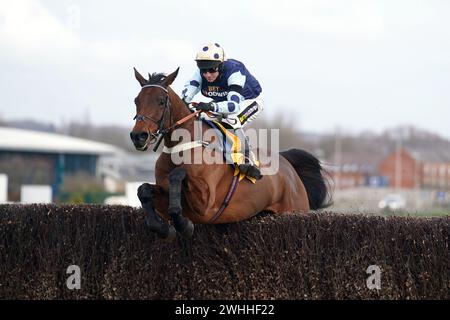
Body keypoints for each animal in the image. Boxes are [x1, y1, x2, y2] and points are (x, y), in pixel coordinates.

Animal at [130, 67, 330, 240]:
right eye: (136, 101)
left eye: (161, 101)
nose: (138, 136)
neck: (181, 145)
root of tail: (289, 166)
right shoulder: (164, 194)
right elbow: (143, 190)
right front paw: (164, 229)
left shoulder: (205, 203)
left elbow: (178, 175)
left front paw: (184, 225)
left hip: (294, 210)